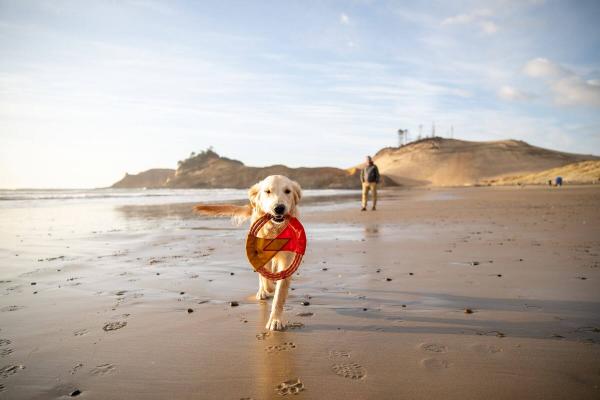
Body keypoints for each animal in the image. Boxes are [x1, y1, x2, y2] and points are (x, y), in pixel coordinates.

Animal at [195, 175, 302, 332]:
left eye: (287, 191)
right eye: (267, 191)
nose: (279, 208)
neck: (274, 229)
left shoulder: (286, 259)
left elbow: (279, 293)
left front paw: (275, 320)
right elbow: (265, 278)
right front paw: (268, 288)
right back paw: (263, 291)